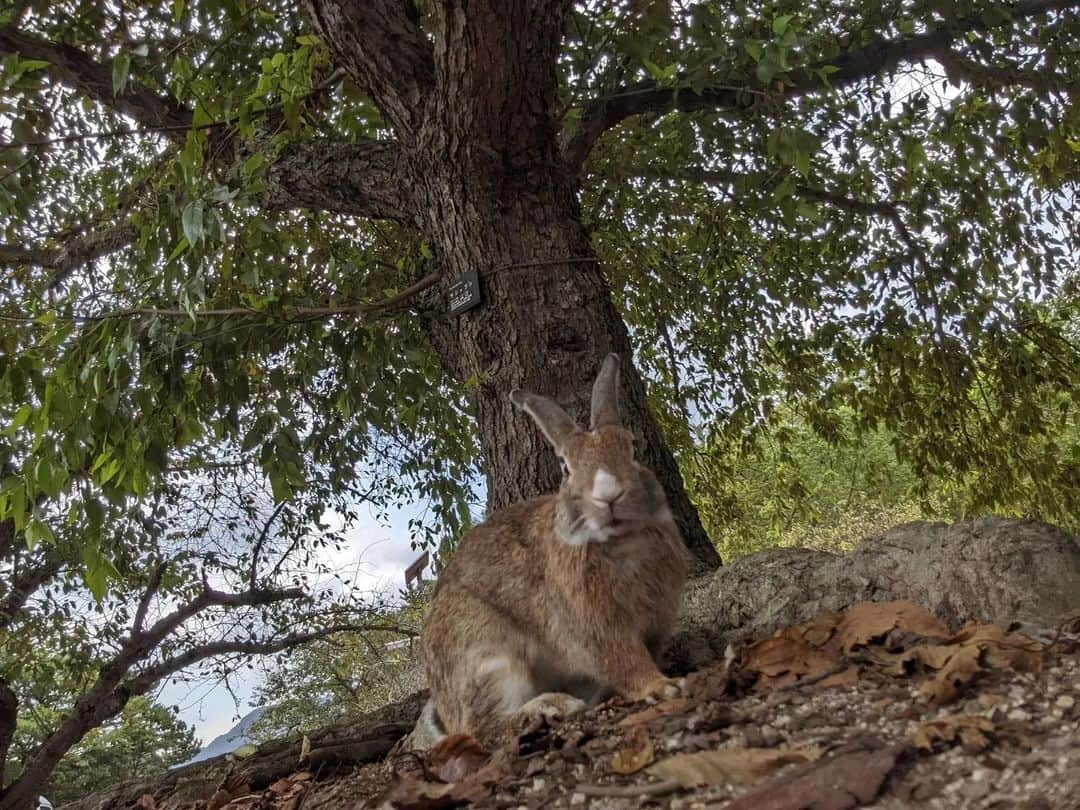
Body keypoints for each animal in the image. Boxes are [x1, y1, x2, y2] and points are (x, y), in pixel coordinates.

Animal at [416, 354, 686, 747]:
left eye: (631, 447)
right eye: (565, 467)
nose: (609, 495)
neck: (621, 540)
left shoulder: (656, 618)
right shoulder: (597, 625)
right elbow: (626, 660)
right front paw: (663, 687)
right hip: (486, 654)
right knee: (482, 728)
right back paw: (552, 706)